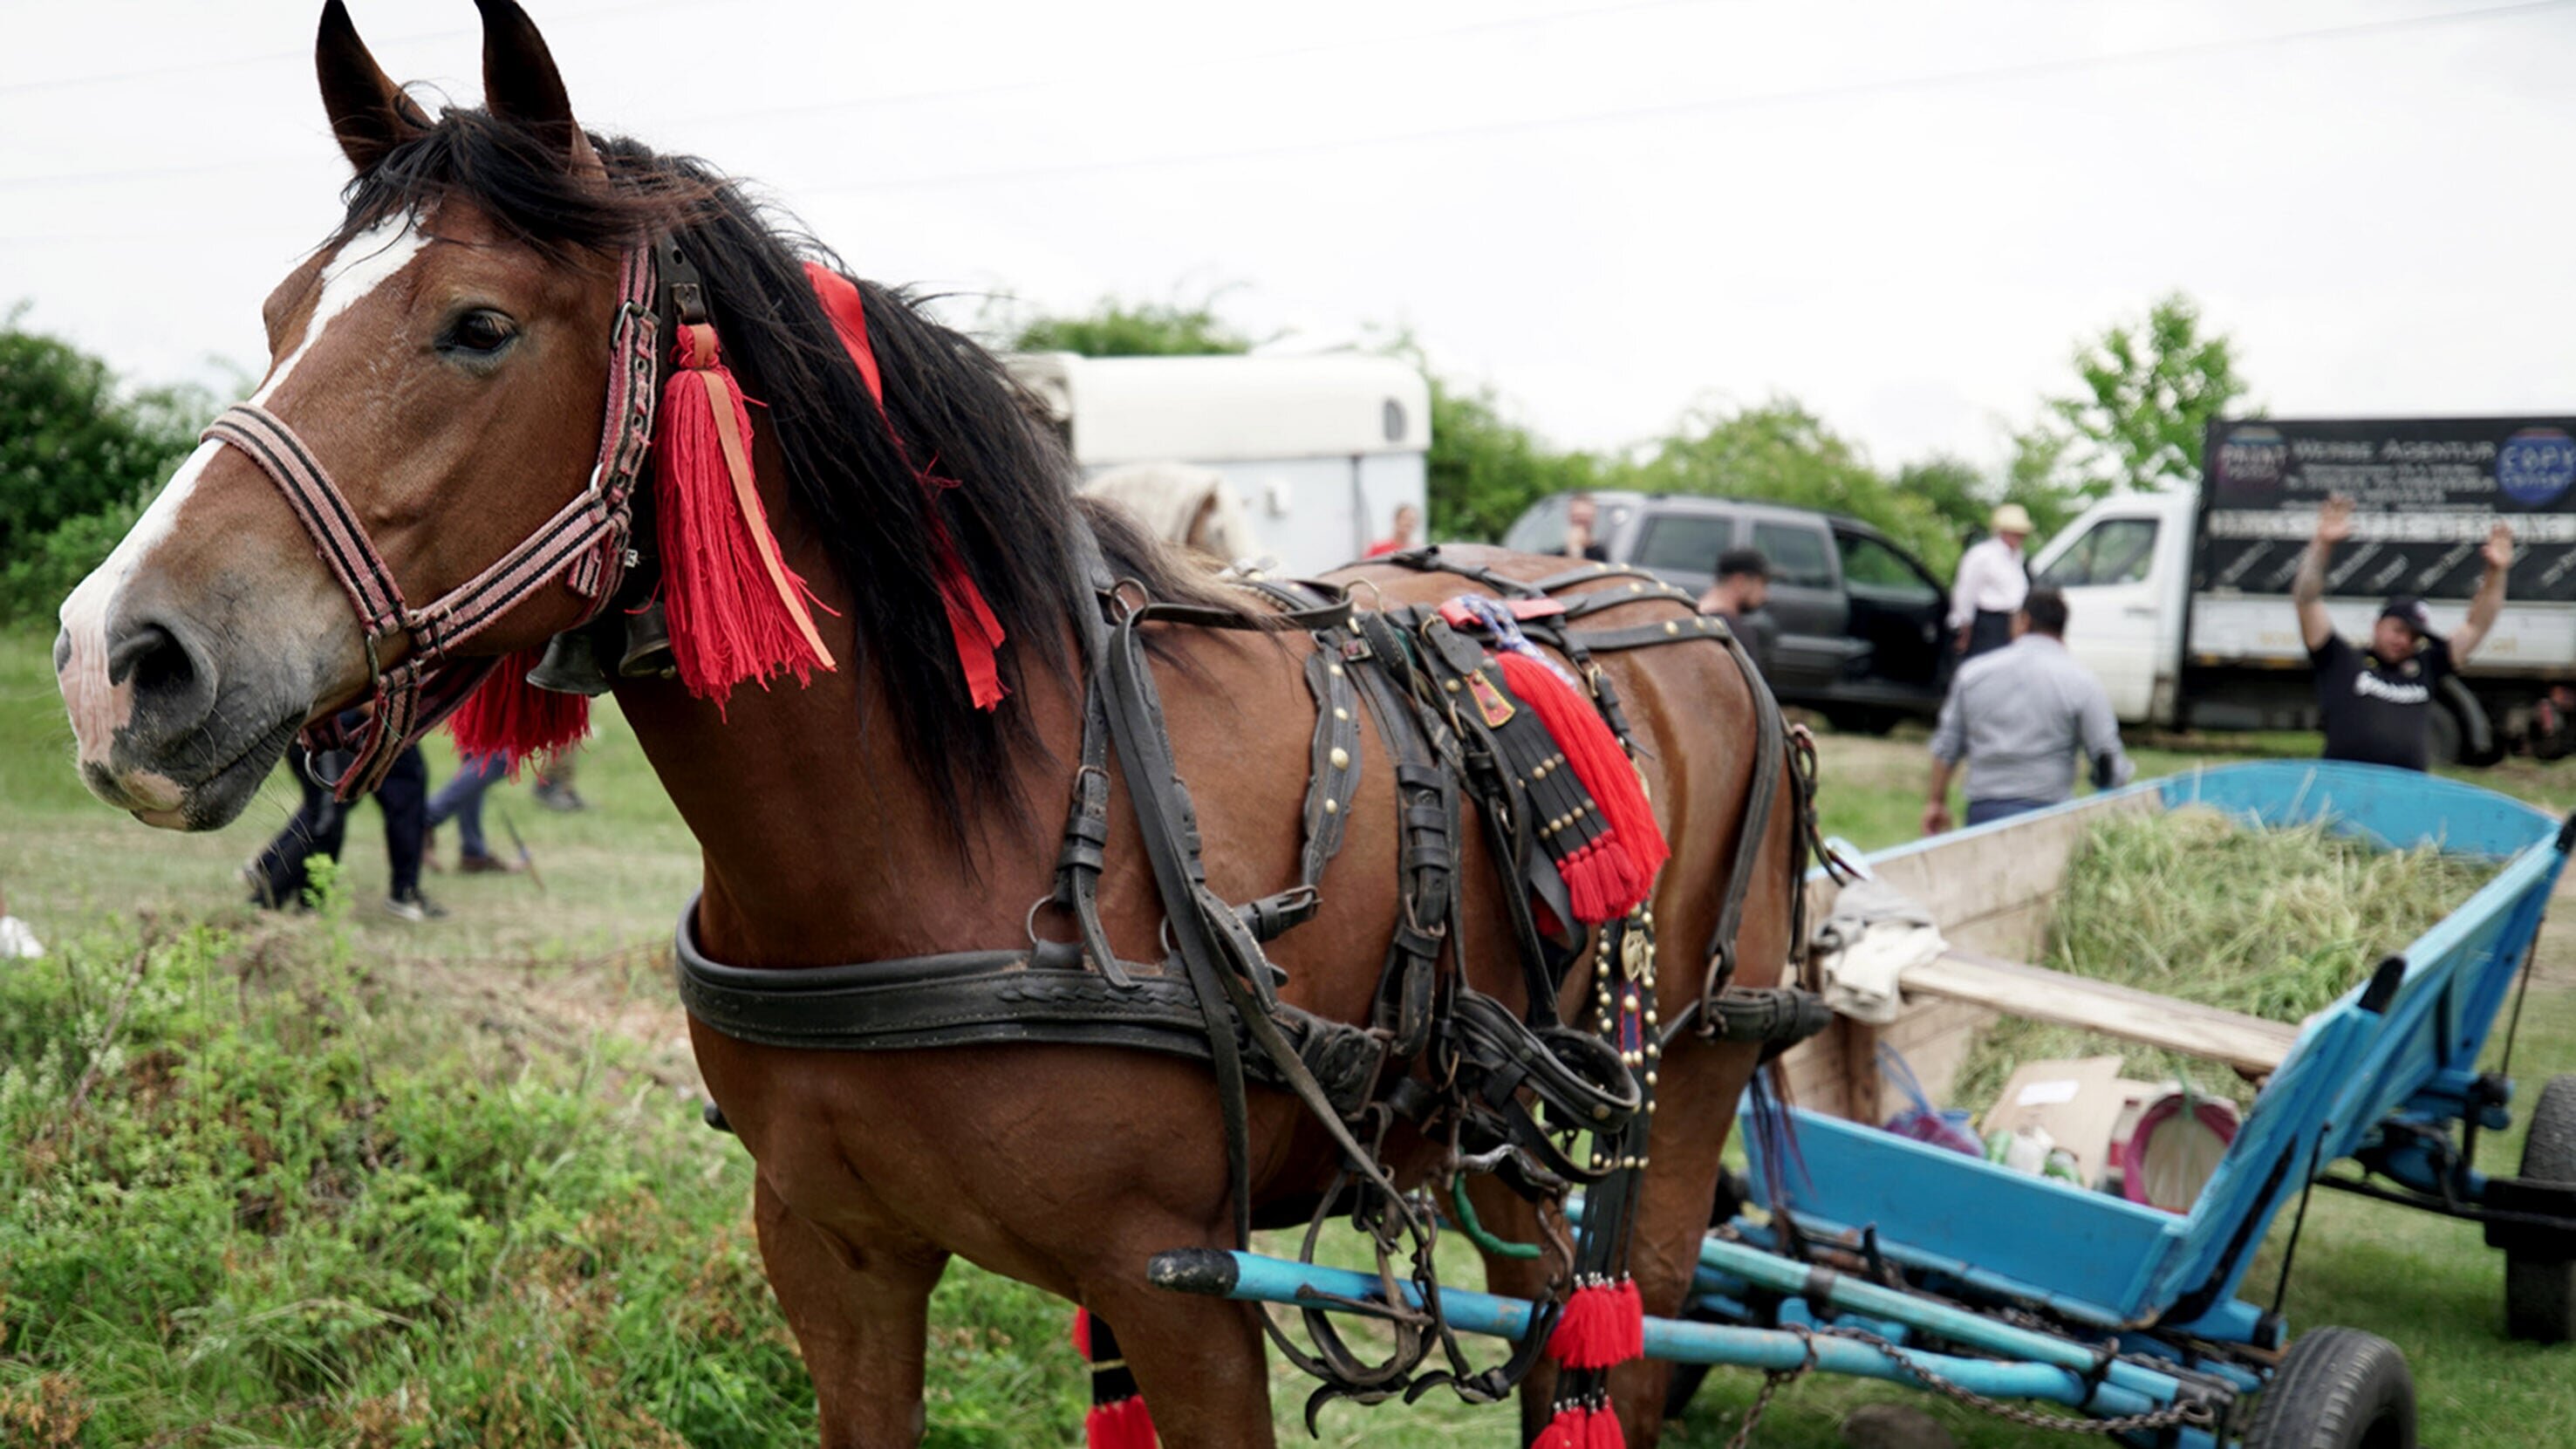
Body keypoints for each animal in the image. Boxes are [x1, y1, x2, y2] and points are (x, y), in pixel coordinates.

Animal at [55, 5, 1793, 1433]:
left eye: (477, 325)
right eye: (280, 312)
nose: (116, 655)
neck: (941, 836)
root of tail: (1677, 613)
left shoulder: (1185, 1292)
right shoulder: (835, 1253)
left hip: (1670, 1117)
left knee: (1624, 1353)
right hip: (1511, 1149)